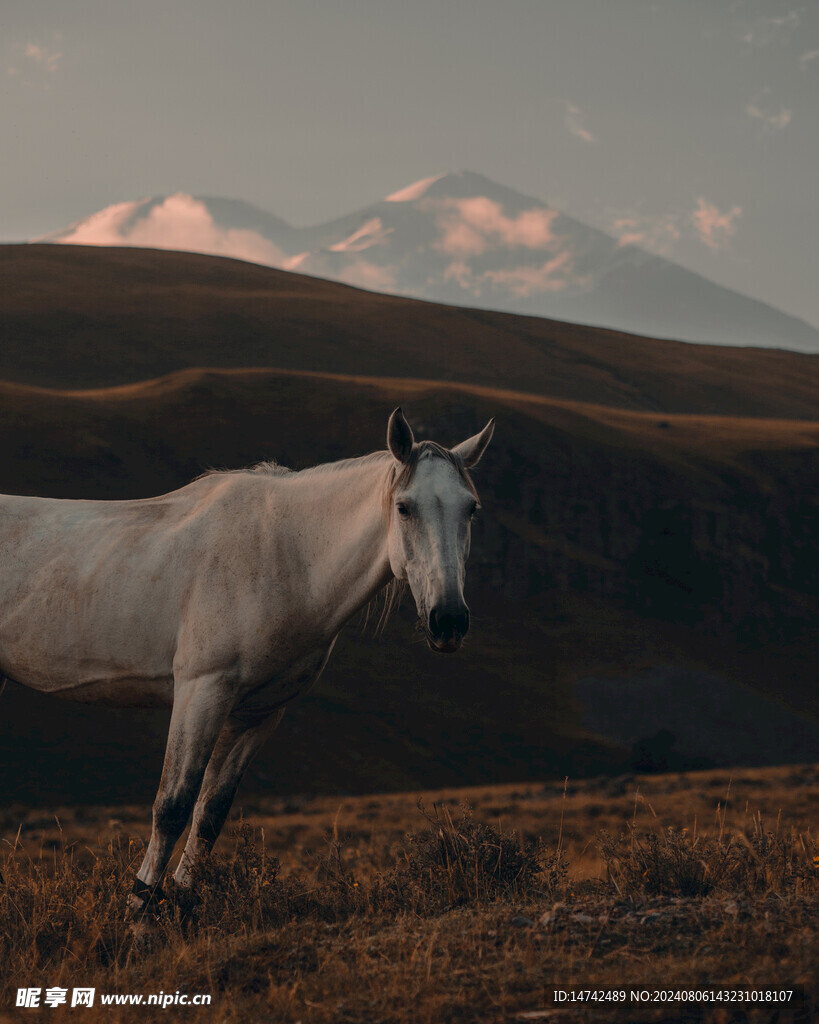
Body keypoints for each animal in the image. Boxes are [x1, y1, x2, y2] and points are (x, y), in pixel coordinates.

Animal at [0, 408, 493, 911]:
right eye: (405, 507)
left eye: (470, 508)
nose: (448, 621)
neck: (284, 554)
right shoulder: (201, 692)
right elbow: (172, 806)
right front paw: (138, 915)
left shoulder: (258, 713)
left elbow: (210, 814)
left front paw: (181, 908)